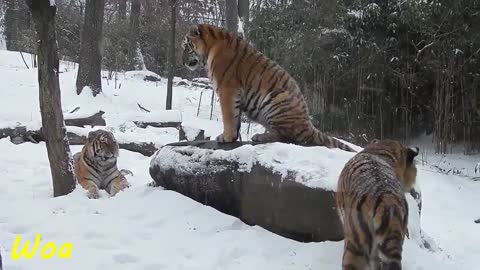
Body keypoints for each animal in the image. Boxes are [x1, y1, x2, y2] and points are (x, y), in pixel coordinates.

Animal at [182, 23, 358, 152]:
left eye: (186, 46)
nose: (182, 61)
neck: (209, 49)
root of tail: (308, 125)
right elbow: (236, 118)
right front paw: (232, 137)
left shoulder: (227, 89)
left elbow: (229, 116)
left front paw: (226, 137)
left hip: (277, 101)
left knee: (288, 137)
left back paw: (260, 136)